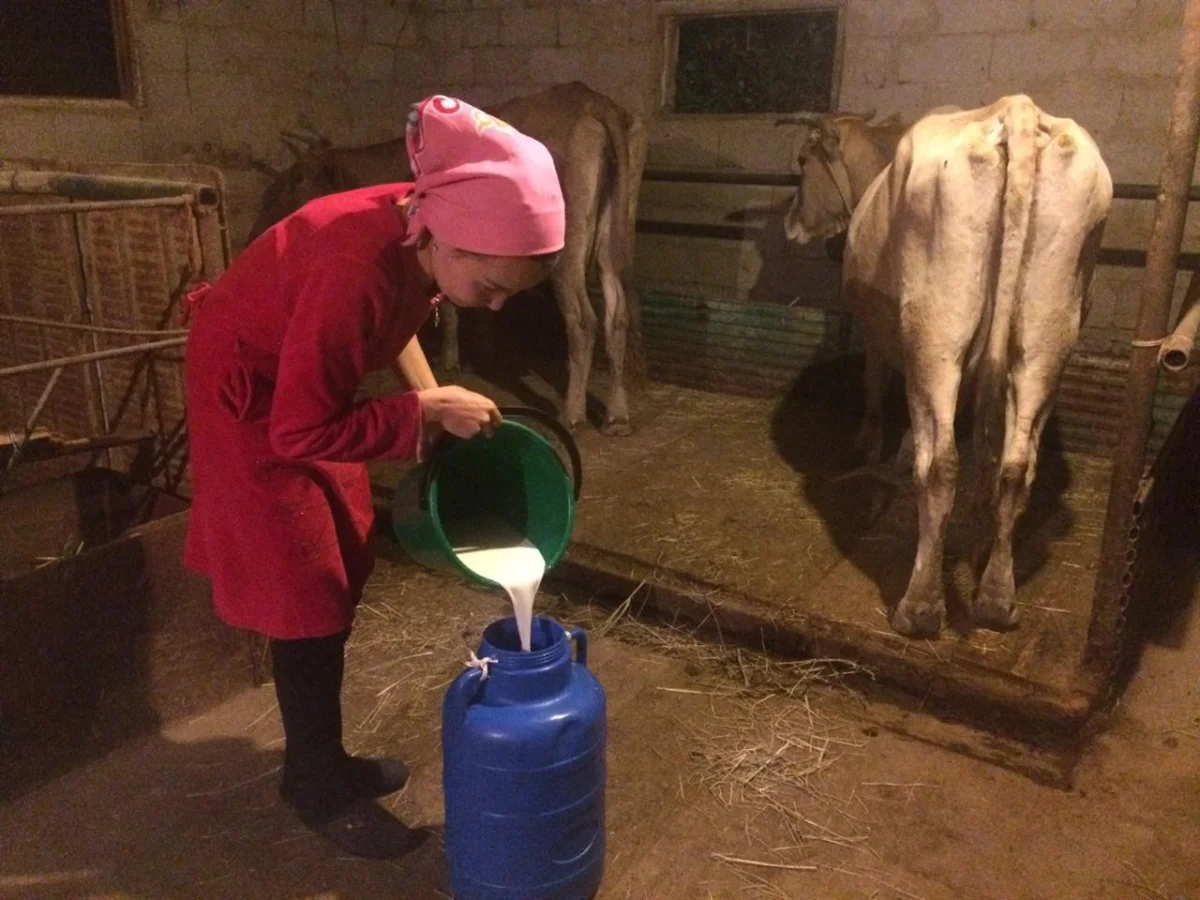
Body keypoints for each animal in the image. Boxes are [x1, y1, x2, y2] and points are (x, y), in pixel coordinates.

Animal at [247, 82, 652, 436]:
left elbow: (451, 307)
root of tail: (589, 99)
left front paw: (452, 358)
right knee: (617, 315)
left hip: (566, 246)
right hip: (614, 234)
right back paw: (618, 416)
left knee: (583, 320)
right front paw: (483, 352)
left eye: (291, 183)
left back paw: (573, 413)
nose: (255, 232)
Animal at [782, 97, 1108, 633]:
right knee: (1016, 465)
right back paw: (995, 595)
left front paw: (870, 446)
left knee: (940, 465)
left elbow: (875, 386)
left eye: (802, 162)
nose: (791, 224)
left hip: (935, 339)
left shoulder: (877, 331)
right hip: (1046, 342)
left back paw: (920, 606)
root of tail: (1016, 109)